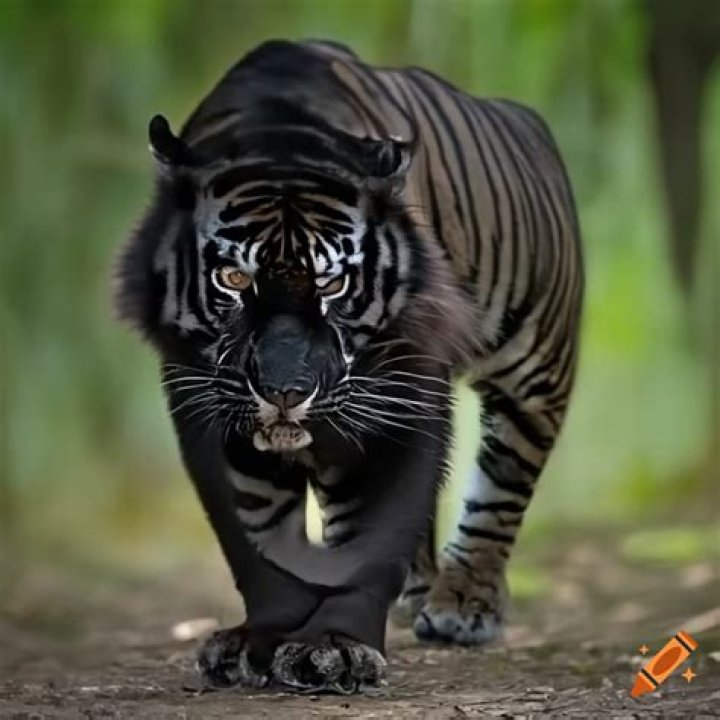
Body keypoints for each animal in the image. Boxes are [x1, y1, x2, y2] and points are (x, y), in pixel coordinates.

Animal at [115, 39, 583, 693]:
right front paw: (259, 640)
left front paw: (336, 647)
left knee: (502, 488)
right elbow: (254, 526)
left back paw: (465, 605)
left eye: (332, 283)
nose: (286, 390)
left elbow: (377, 521)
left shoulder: (402, 384)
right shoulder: (202, 396)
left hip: (535, 366)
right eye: (233, 278)